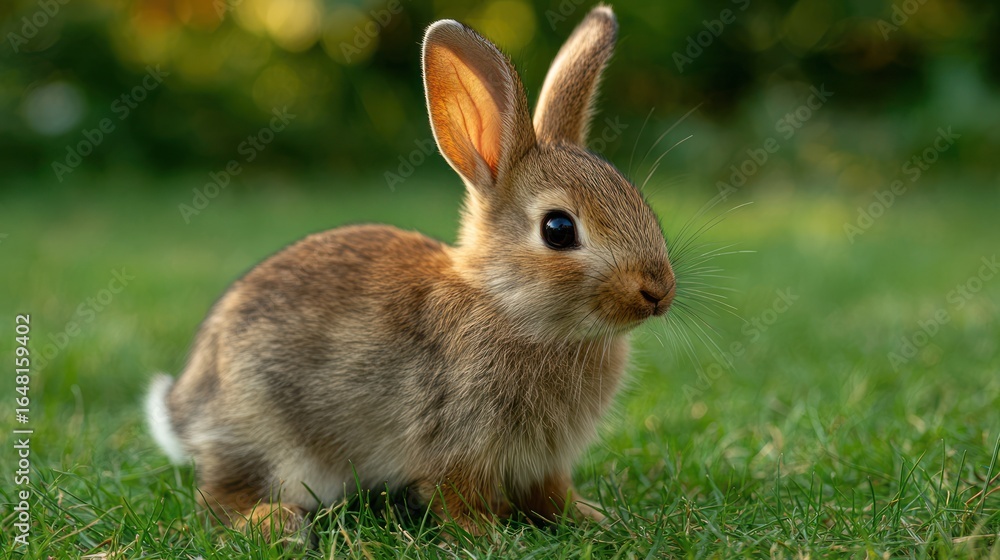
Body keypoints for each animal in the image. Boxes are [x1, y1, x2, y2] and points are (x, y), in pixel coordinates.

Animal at [146, 4, 675, 539]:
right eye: (559, 229)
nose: (658, 291)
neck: (507, 305)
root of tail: (189, 411)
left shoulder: (543, 462)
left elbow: (551, 495)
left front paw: (593, 518)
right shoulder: (456, 439)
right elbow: (455, 497)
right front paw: (487, 536)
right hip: (274, 441)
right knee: (218, 500)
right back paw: (276, 522)